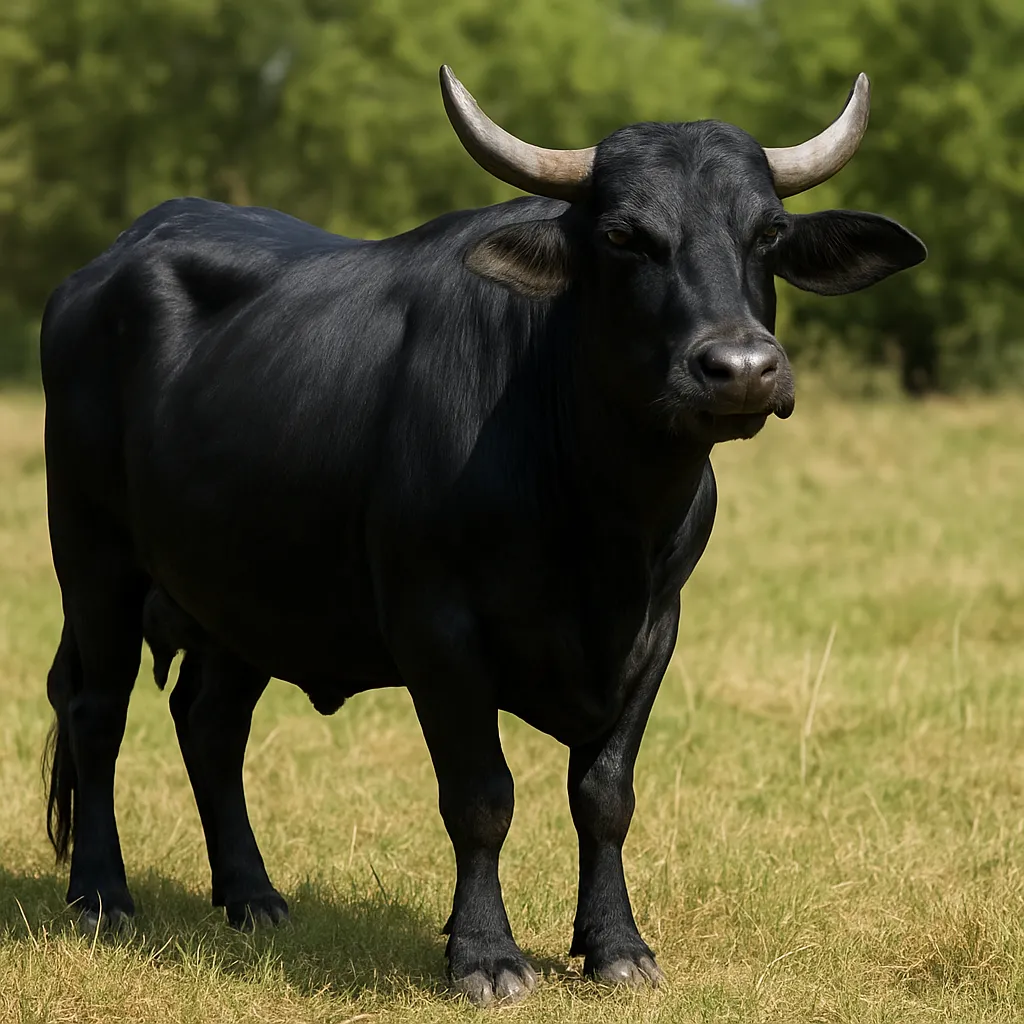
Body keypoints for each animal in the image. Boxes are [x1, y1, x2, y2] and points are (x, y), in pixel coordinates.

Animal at [41, 66, 925, 1005]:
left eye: (769, 233)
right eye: (624, 235)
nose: (741, 370)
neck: (600, 521)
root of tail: (103, 266)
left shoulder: (656, 630)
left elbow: (605, 795)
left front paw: (616, 945)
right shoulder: (438, 629)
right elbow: (480, 797)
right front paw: (485, 954)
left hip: (241, 592)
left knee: (209, 723)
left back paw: (252, 896)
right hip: (91, 557)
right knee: (96, 711)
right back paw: (101, 896)